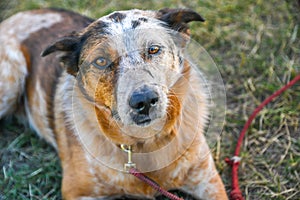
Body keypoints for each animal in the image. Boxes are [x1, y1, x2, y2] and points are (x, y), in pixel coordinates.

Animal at [0, 7, 227, 200]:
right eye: (101, 61)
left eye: (153, 49)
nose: (144, 100)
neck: (146, 142)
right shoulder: (77, 191)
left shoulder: (208, 181)